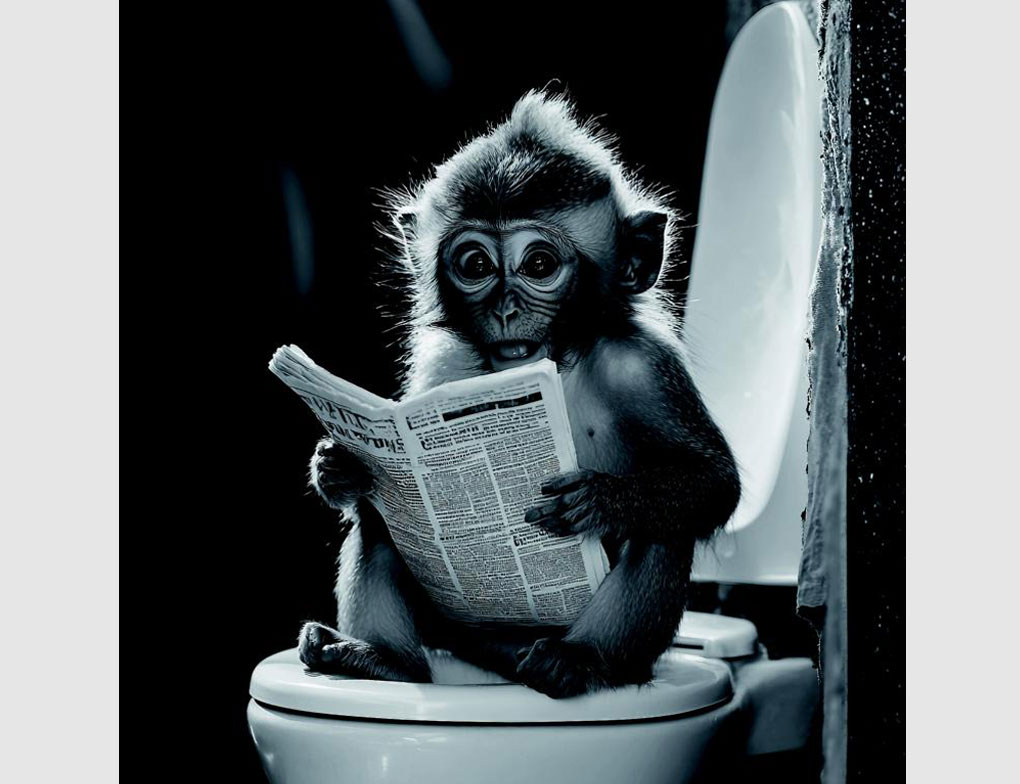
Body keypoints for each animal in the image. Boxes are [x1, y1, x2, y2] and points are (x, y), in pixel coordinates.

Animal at [296, 90, 740, 699]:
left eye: (539, 264)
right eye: (476, 264)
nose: (505, 308)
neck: (561, 362)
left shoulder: (644, 367)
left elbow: (713, 482)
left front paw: (600, 500)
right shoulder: (444, 366)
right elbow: (375, 489)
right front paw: (335, 467)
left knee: (663, 530)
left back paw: (579, 661)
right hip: (460, 627)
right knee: (381, 521)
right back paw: (383, 660)